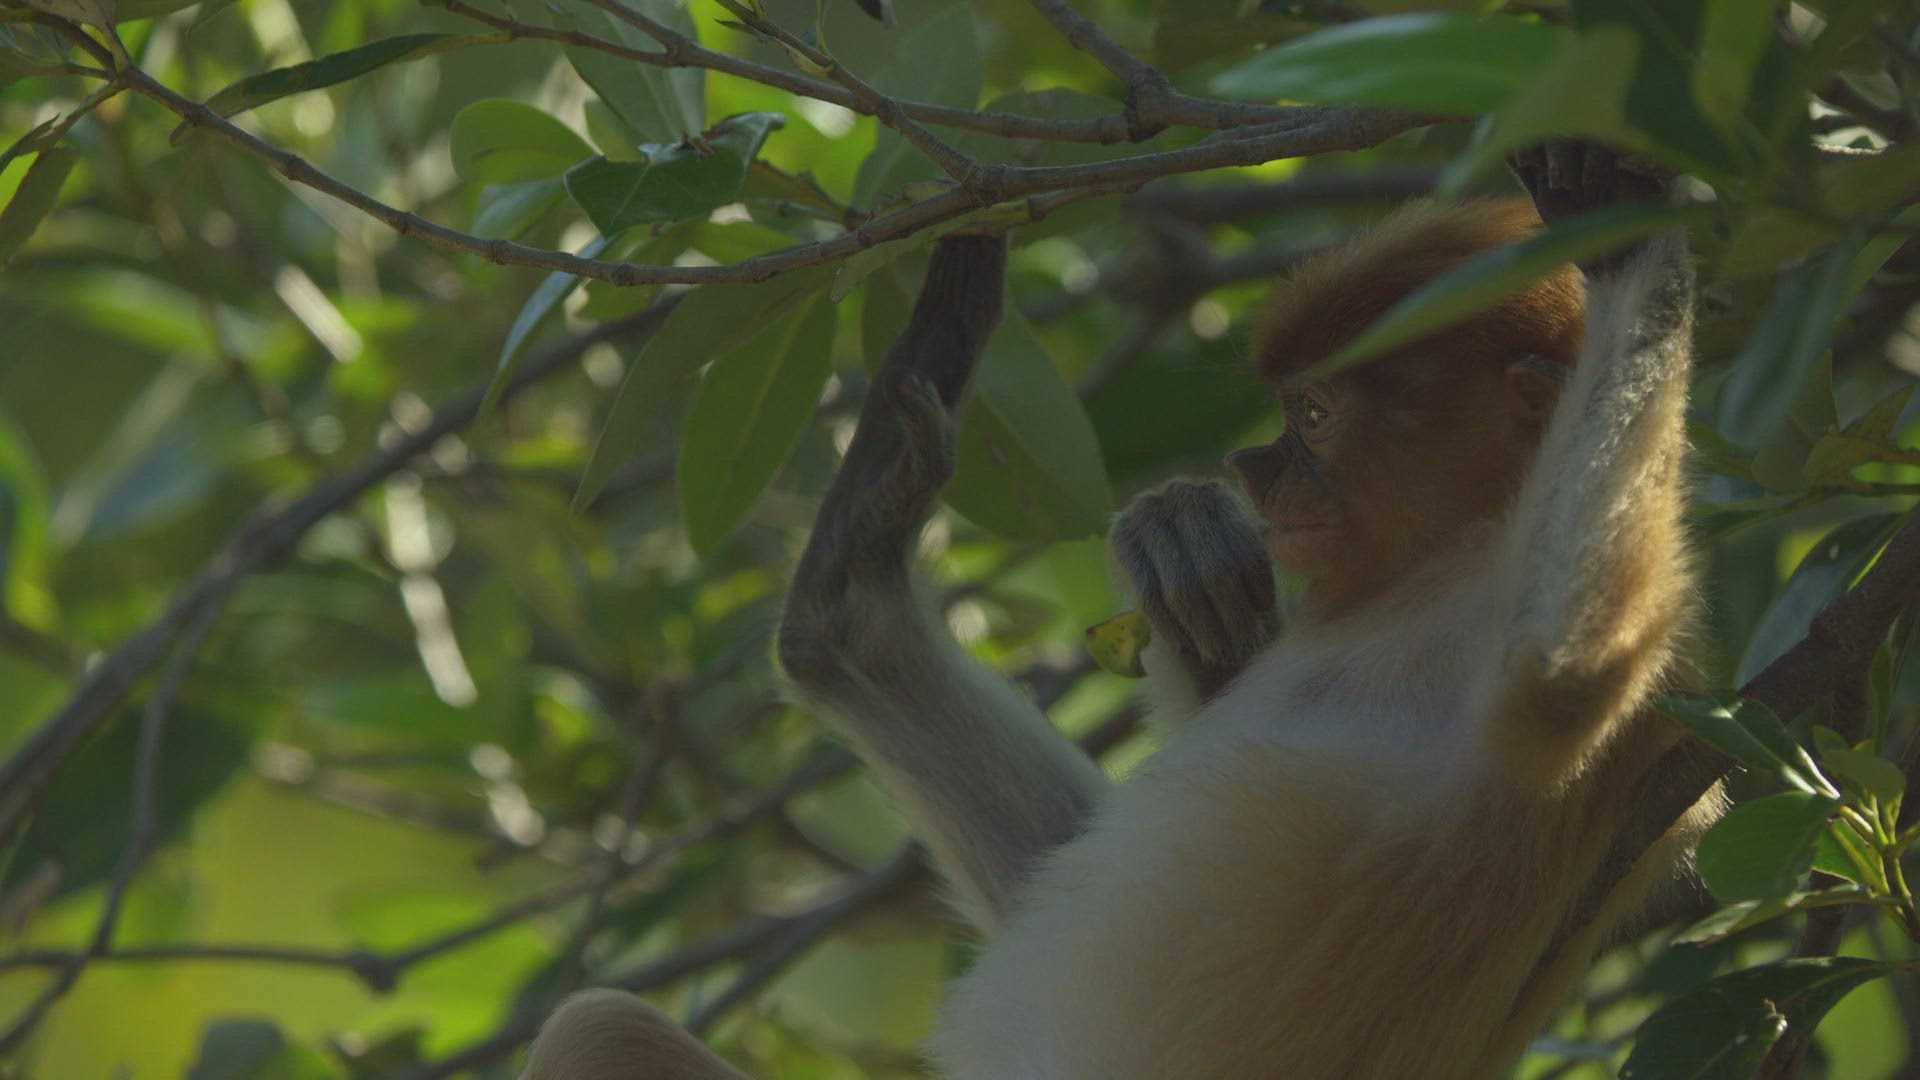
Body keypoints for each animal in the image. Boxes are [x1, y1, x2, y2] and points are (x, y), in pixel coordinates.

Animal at [521, 142, 1719, 1080]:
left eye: (1315, 418)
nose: (1251, 465)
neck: (1431, 567)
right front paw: (1182, 547)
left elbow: (1563, 663)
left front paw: (1625, 241)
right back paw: (850, 575)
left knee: (594, 1028)